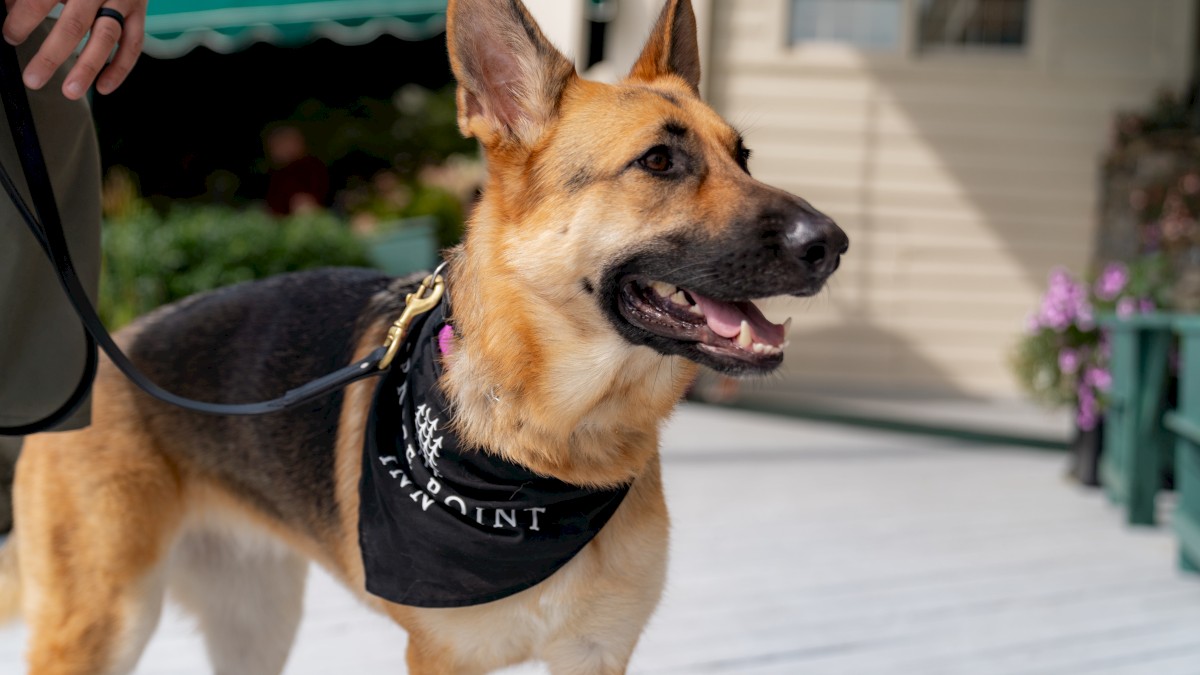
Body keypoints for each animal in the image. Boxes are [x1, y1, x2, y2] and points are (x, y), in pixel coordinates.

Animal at [2, 1, 844, 672]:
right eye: (660, 161)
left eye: (744, 157)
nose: (832, 243)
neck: (549, 446)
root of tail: (108, 354)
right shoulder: (445, 657)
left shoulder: (596, 652)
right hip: (103, 624)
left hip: (258, 626)